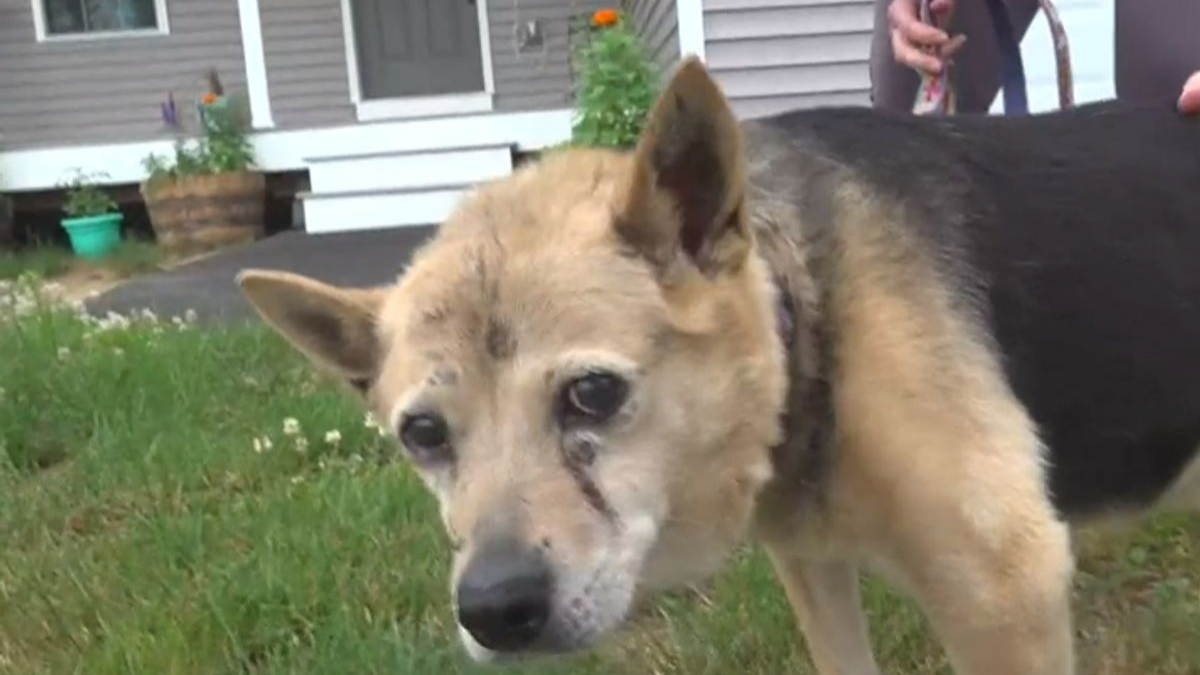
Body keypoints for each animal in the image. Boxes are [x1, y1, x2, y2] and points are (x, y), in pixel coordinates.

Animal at [234, 59, 1200, 672]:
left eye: (593, 393)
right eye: (424, 434)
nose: (495, 611)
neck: (802, 320)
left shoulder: (1005, 593)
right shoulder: (813, 565)